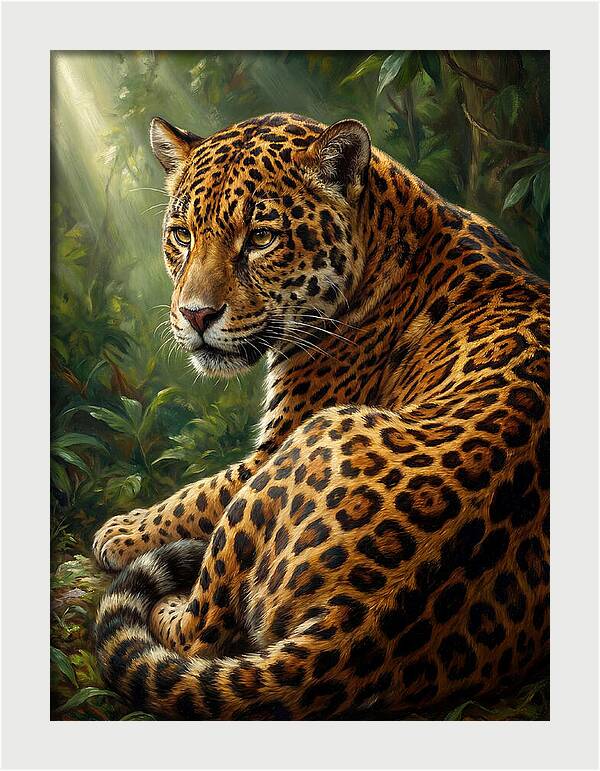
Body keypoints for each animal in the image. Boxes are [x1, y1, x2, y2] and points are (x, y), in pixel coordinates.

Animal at [93, 112, 549, 720]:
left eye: (261, 237)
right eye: (183, 234)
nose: (195, 315)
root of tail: (356, 626)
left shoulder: (273, 443)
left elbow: (196, 496)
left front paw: (120, 531)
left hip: (306, 442)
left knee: (200, 632)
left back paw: (168, 602)